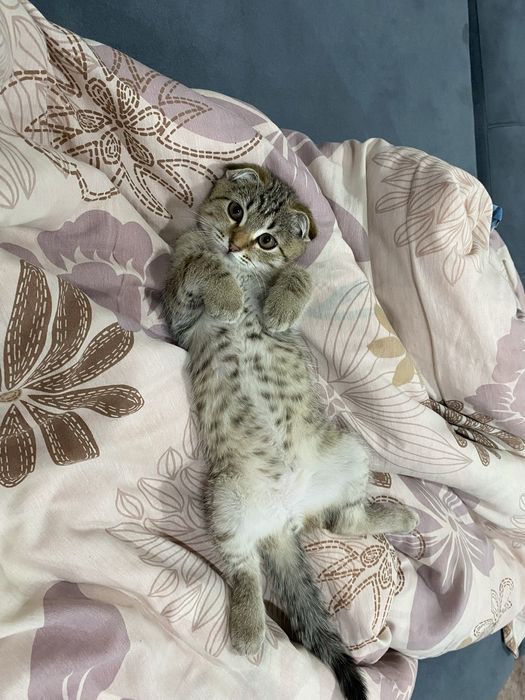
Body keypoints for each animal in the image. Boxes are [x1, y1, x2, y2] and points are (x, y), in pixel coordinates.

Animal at [163, 163, 418, 700]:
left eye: (267, 240)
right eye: (235, 210)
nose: (235, 243)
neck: (243, 270)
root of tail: (286, 516)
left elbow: (299, 272)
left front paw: (279, 305)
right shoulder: (179, 315)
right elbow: (198, 263)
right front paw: (224, 289)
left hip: (347, 450)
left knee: (342, 521)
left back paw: (397, 516)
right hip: (225, 498)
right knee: (245, 569)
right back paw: (249, 626)